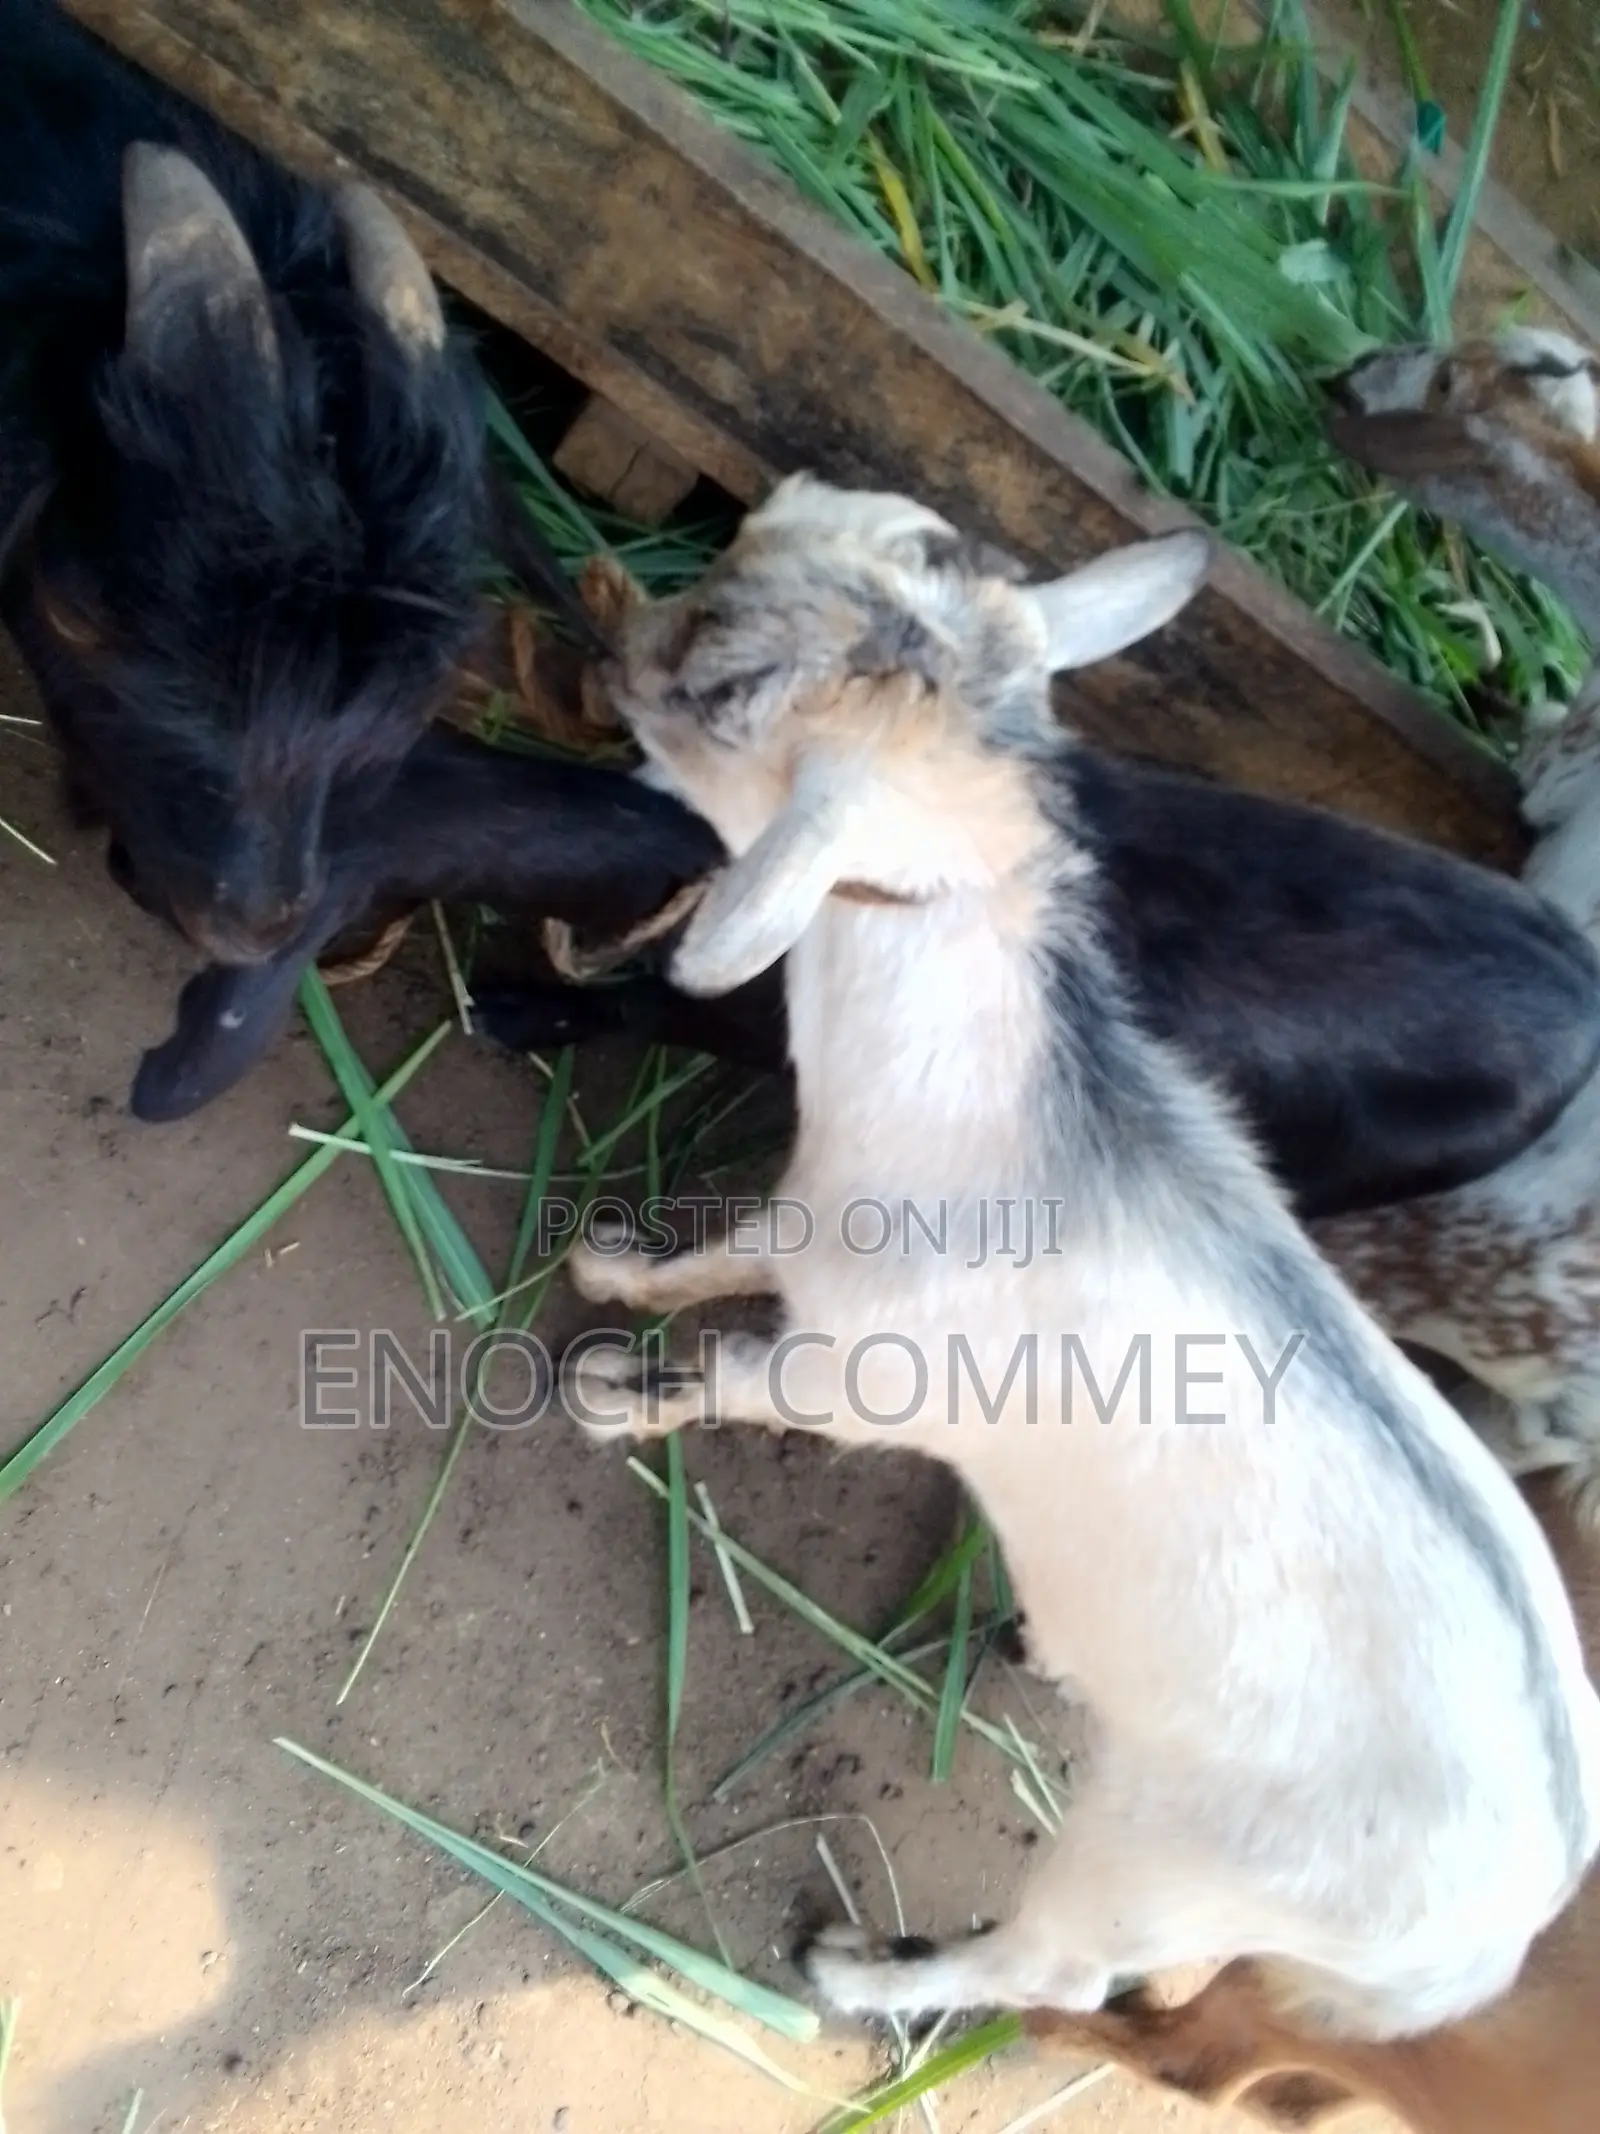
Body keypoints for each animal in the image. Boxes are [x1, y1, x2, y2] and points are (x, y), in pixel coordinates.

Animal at [560, 474, 1600, 2039]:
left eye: (729, 686)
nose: (601, 620)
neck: (1000, 1109)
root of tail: (1510, 1913)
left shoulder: (859, 1373)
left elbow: (728, 1373)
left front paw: (616, 1396)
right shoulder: (808, 1215)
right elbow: (716, 1254)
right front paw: (613, 1268)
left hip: (1154, 1858)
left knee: (1051, 1966)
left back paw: (857, 1971)